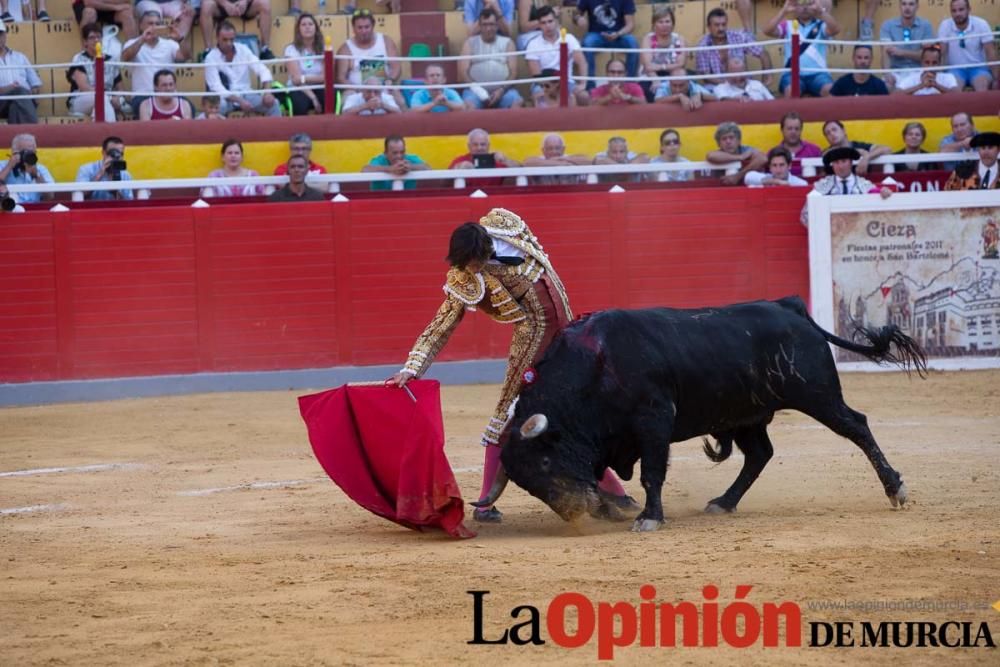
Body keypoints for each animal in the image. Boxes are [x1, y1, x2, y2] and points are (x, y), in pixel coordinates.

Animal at [476, 298, 928, 532]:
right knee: (759, 454)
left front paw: (649, 518)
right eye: (528, 485)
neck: (594, 365)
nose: (574, 513)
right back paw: (724, 502)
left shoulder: (654, 421)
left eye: (545, 462)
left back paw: (895, 489)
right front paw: (614, 507)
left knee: (857, 426)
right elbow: (603, 472)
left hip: (818, 395)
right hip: (745, 416)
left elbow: (652, 473)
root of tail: (789, 307)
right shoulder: (606, 438)